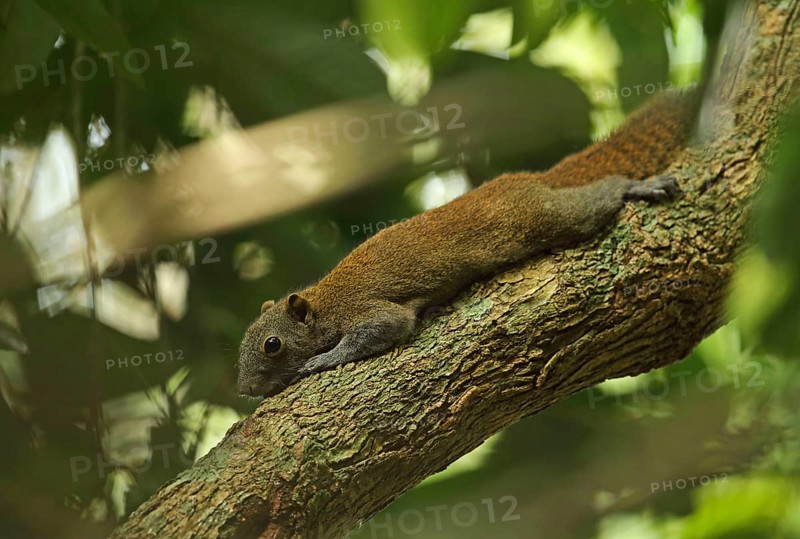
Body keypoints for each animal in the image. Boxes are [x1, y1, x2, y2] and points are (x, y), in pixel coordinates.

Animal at [237, 90, 699, 398]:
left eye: (272, 345)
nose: (244, 390)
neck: (324, 300)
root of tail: (533, 179)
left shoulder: (363, 309)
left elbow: (385, 327)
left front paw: (321, 360)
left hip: (548, 216)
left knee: (600, 196)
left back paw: (637, 186)